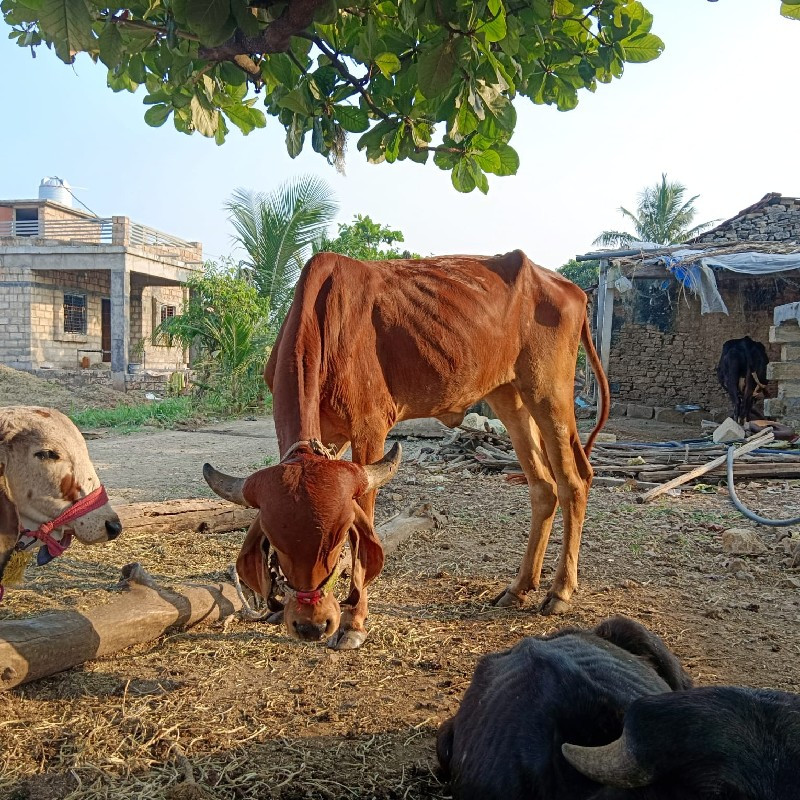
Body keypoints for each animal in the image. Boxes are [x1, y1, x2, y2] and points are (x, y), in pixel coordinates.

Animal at [203, 250, 608, 648]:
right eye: (275, 541)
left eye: (338, 536)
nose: (312, 625)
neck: (325, 323)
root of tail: (570, 288)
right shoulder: (328, 437)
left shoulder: (370, 431)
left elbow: (365, 520)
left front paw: (354, 623)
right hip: (508, 395)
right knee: (543, 486)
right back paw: (519, 588)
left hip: (548, 392)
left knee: (573, 481)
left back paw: (559, 592)